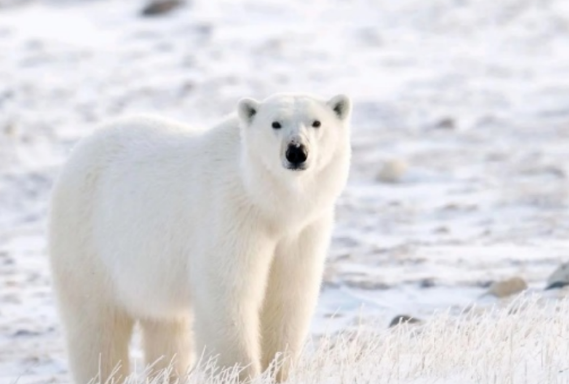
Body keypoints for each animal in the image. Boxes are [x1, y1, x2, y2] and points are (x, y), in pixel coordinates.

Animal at [47, 94, 350, 384]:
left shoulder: (301, 232)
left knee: (166, 330)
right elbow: (229, 296)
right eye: (275, 123)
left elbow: (287, 297)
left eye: (316, 122)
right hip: (88, 245)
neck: (266, 203)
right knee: (97, 328)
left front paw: (278, 371)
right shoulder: (230, 217)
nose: (296, 151)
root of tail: (79, 149)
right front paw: (239, 374)